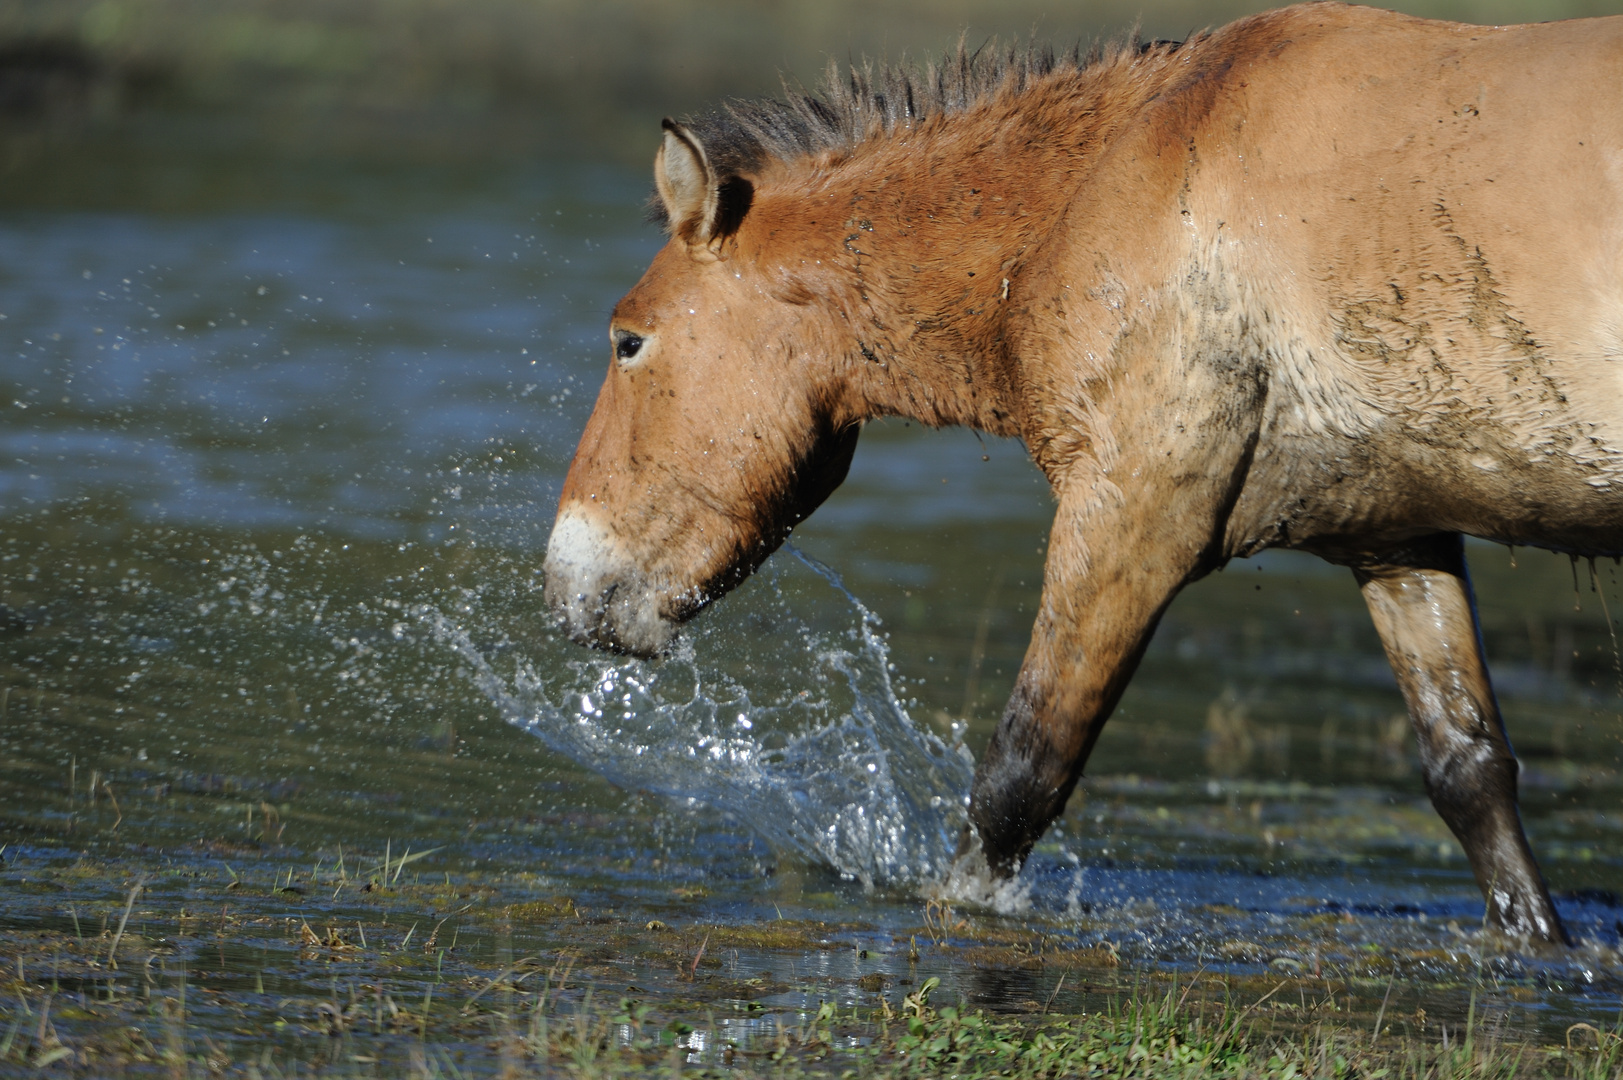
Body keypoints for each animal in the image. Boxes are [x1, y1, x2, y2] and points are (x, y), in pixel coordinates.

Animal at [542, 2, 1623, 941]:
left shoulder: (1130, 513)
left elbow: (1020, 777)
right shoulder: (1394, 536)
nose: (567, 583)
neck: (1118, 178)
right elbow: (1469, 776)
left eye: (628, 341)